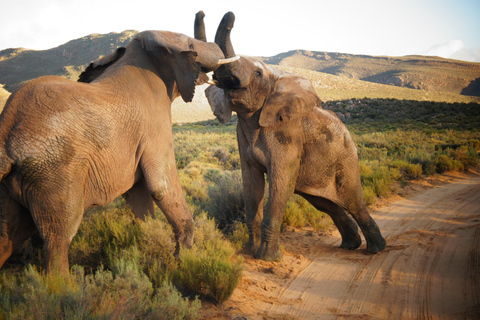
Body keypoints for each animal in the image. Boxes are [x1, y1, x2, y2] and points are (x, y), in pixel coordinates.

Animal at [0, 15, 237, 276]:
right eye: (191, 47)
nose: (230, 15)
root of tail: (7, 133)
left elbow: (140, 195)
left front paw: (146, 242)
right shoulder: (154, 122)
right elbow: (161, 185)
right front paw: (186, 261)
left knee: (8, 236)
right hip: (54, 171)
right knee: (58, 236)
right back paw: (62, 284)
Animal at [205, 13, 386, 262]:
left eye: (258, 73)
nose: (231, 15)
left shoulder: (286, 135)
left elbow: (280, 185)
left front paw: (267, 258)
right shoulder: (242, 135)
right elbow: (251, 186)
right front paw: (250, 252)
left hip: (346, 159)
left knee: (353, 201)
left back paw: (376, 249)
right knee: (325, 204)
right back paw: (351, 245)